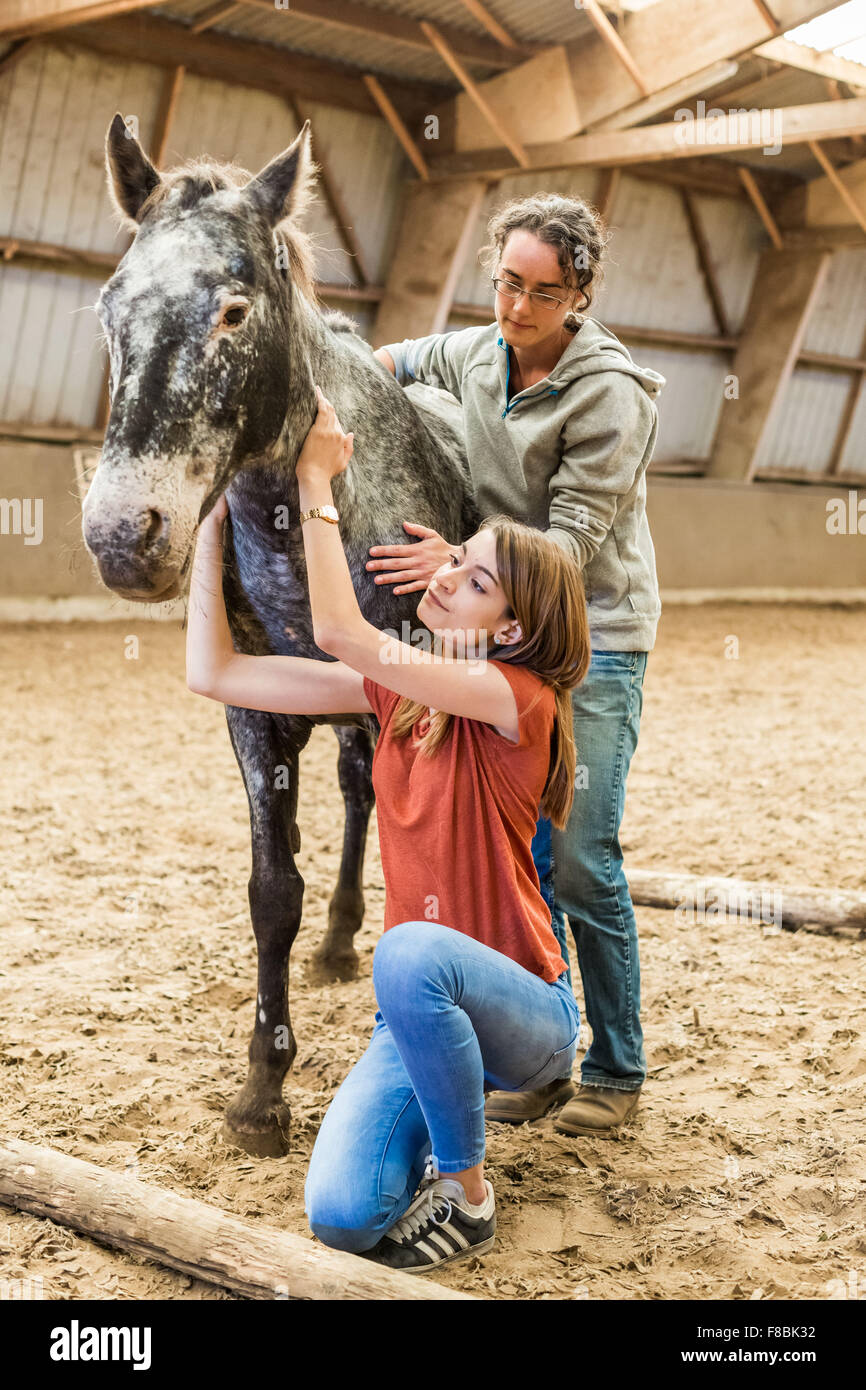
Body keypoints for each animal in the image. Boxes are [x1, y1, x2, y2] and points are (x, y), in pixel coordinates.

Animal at [83, 113, 480, 1156]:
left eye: (233, 309)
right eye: (109, 308)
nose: (123, 534)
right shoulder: (258, 723)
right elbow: (274, 891)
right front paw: (262, 1089)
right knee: (353, 800)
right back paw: (338, 942)